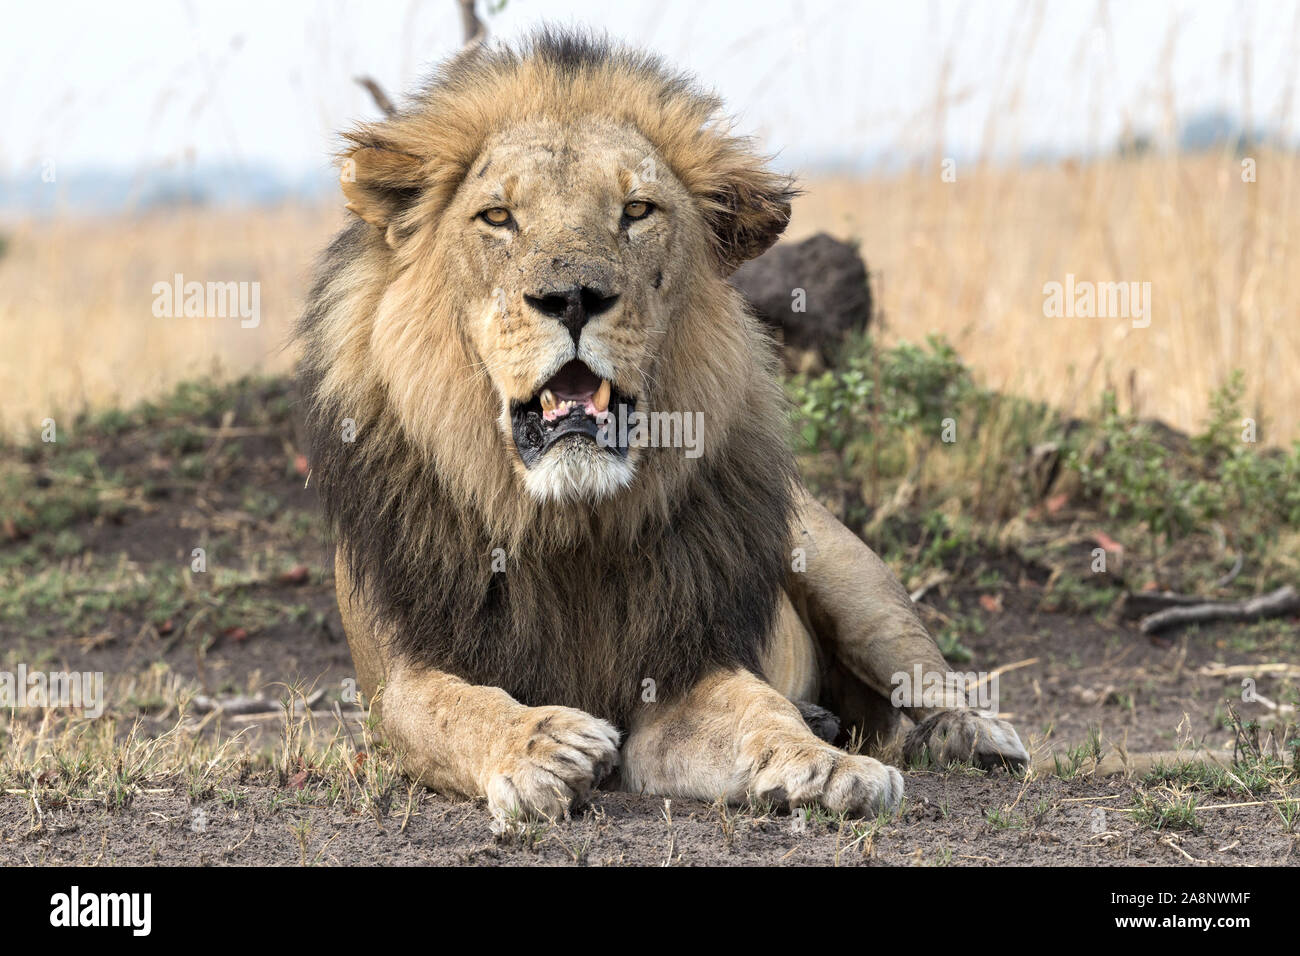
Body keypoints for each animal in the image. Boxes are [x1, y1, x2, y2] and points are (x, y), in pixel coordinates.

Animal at [299, 27, 1029, 822]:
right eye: (497, 217)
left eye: (637, 211)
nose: (573, 297)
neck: (569, 525)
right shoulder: (400, 673)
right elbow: (449, 708)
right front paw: (543, 745)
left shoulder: (681, 664)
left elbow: (760, 707)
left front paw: (826, 766)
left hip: (851, 577)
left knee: (922, 676)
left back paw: (966, 734)